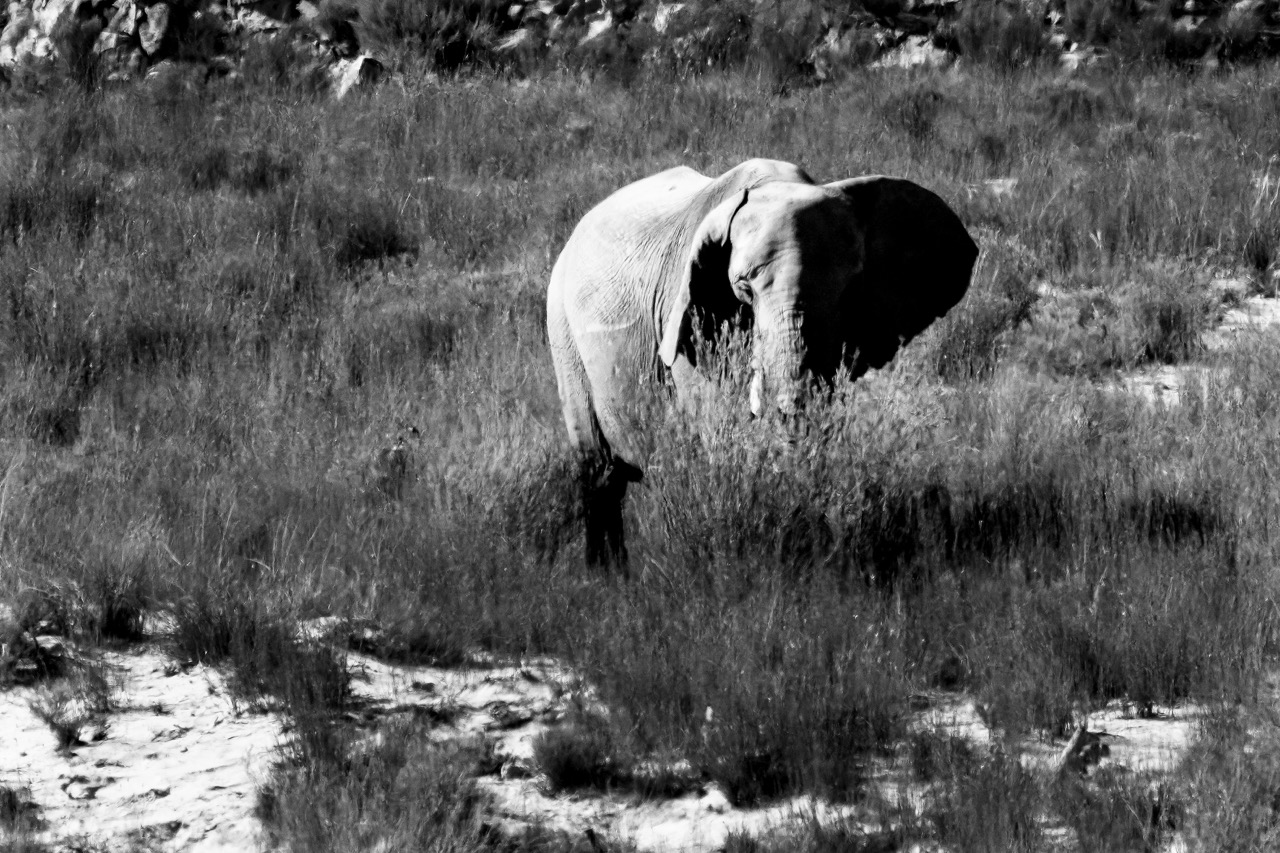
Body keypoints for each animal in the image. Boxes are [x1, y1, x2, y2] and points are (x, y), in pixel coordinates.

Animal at [546, 158, 978, 567]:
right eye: (744, 288)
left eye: (851, 289)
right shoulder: (686, 321)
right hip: (561, 327)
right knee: (600, 471)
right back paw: (607, 577)